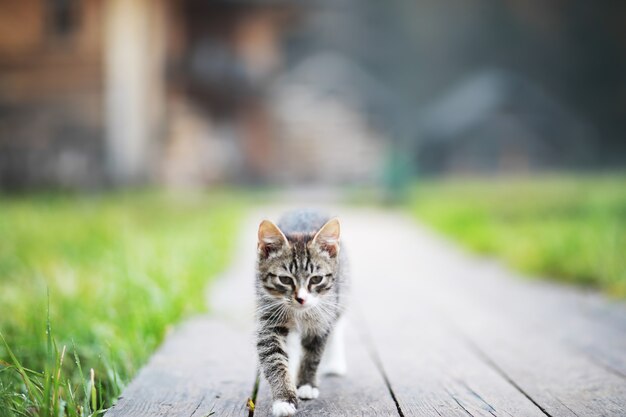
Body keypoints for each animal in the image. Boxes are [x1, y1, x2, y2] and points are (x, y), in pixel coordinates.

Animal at [252, 210, 346, 414]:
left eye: (316, 279)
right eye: (285, 280)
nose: (301, 299)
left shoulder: (321, 319)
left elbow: (313, 354)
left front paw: (306, 385)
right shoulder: (269, 319)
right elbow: (274, 358)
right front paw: (284, 399)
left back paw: (335, 363)